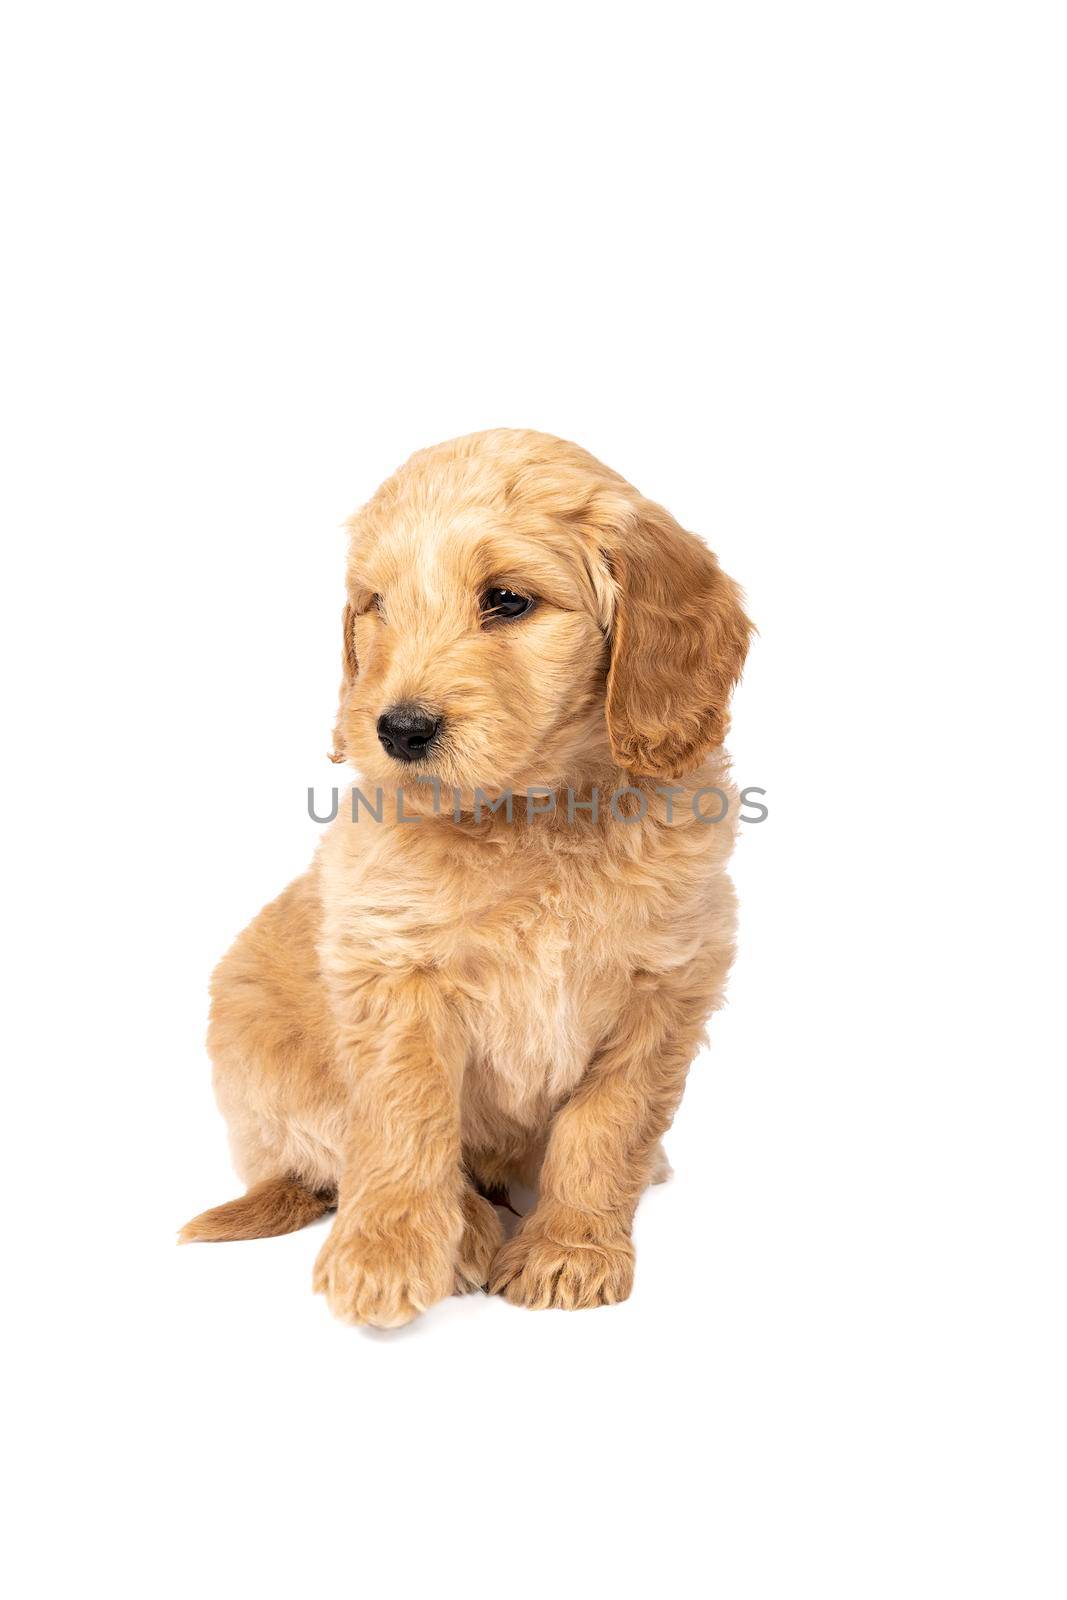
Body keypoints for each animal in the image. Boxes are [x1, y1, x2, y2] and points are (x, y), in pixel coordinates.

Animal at [181, 428, 751, 1324]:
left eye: (507, 601)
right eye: (377, 605)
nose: (398, 730)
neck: (531, 816)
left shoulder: (667, 985)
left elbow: (608, 1123)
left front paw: (569, 1248)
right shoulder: (392, 968)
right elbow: (405, 1118)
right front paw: (385, 1257)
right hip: (256, 1039)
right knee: (335, 1153)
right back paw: (468, 1235)